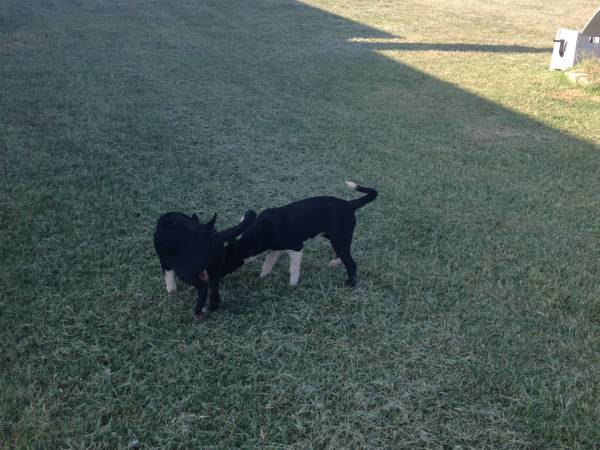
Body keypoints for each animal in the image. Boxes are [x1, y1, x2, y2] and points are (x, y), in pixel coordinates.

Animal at [223, 181, 378, 286]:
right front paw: (262, 277)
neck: (259, 232)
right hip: (335, 237)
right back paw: (336, 262)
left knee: (351, 263)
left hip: (338, 239)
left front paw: (292, 285)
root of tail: (349, 204)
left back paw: (350, 283)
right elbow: (267, 264)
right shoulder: (274, 249)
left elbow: (293, 269)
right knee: (345, 253)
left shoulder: (297, 248)